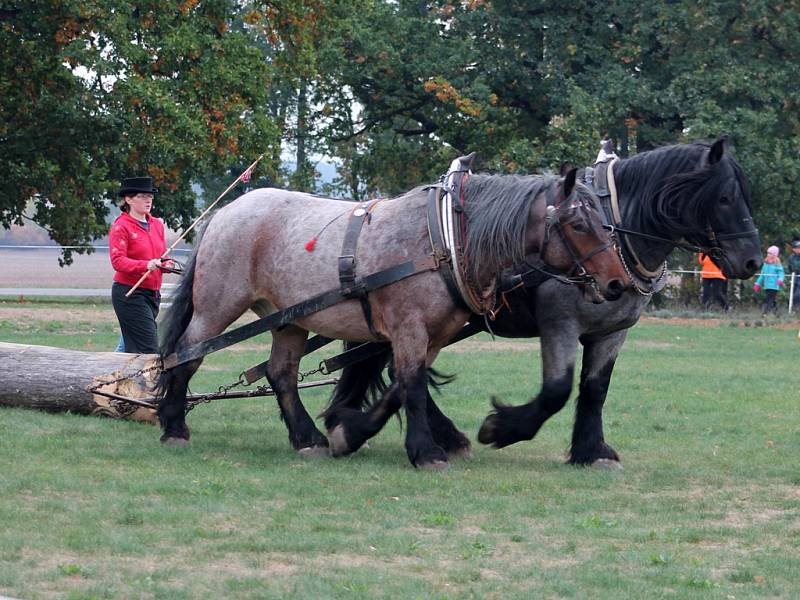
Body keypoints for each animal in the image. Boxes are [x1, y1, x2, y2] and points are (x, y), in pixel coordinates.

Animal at [158, 169, 632, 468]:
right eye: (577, 224)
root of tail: (224, 212)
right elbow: (413, 388)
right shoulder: (408, 327)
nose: (617, 283)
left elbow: (404, 386)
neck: (443, 241)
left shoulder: (433, 335)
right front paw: (427, 452)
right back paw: (173, 425)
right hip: (218, 305)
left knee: (281, 373)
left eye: (605, 221)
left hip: (288, 318)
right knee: (186, 354)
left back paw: (307, 438)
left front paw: (350, 432)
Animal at [324, 138, 764, 466]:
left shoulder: (613, 332)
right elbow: (557, 389)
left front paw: (591, 449)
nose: (753, 261)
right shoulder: (559, 323)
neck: (617, 229)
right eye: (725, 197)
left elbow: (595, 388)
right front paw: (502, 428)